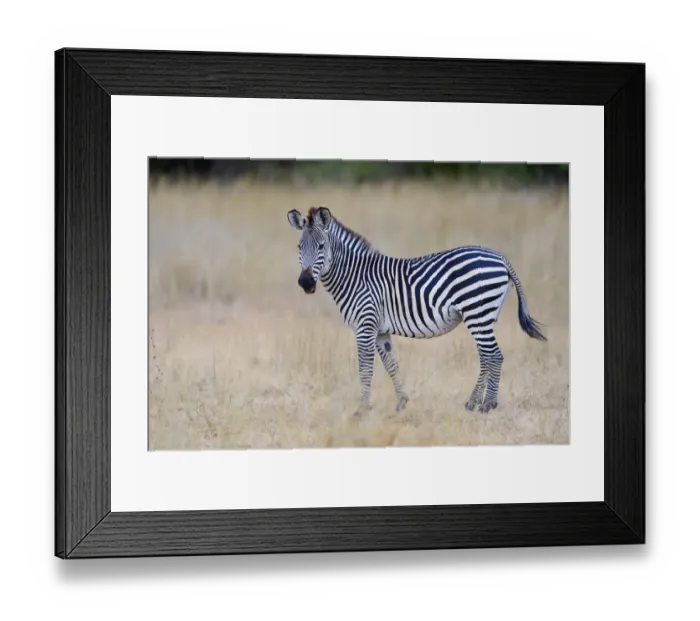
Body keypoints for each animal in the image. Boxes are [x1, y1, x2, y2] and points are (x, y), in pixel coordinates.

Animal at [287, 206, 546, 416]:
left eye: (321, 246)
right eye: (299, 247)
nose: (306, 283)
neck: (355, 276)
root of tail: (500, 257)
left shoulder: (365, 326)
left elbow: (365, 369)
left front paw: (362, 410)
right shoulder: (380, 331)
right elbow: (391, 364)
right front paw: (401, 403)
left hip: (477, 311)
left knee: (494, 355)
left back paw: (487, 405)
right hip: (483, 315)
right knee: (486, 356)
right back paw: (473, 402)